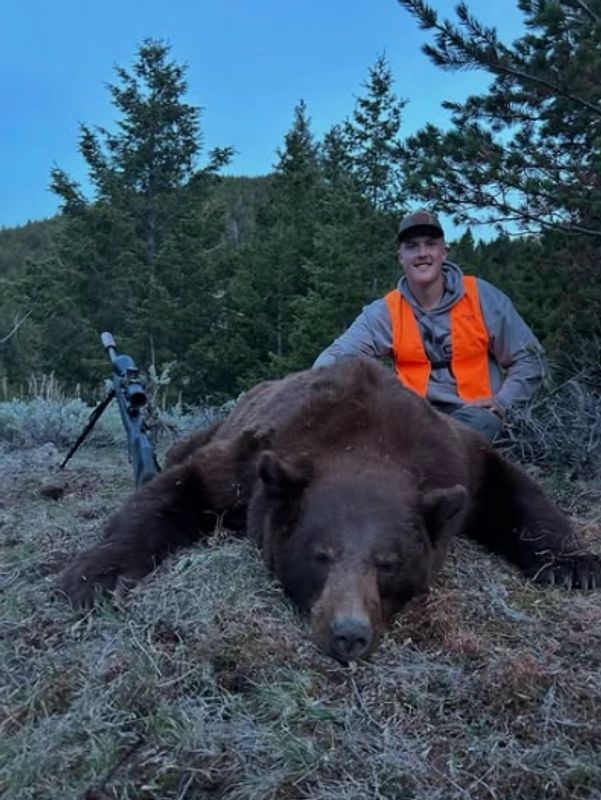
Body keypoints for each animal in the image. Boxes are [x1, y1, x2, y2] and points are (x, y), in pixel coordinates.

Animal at [60, 357, 601, 662]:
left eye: (388, 563)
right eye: (320, 555)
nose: (348, 634)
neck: (365, 443)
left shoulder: (456, 453)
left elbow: (512, 486)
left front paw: (573, 564)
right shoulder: (254, 457)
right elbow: (178, 489)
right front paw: (94, 575)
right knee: (178, 451)